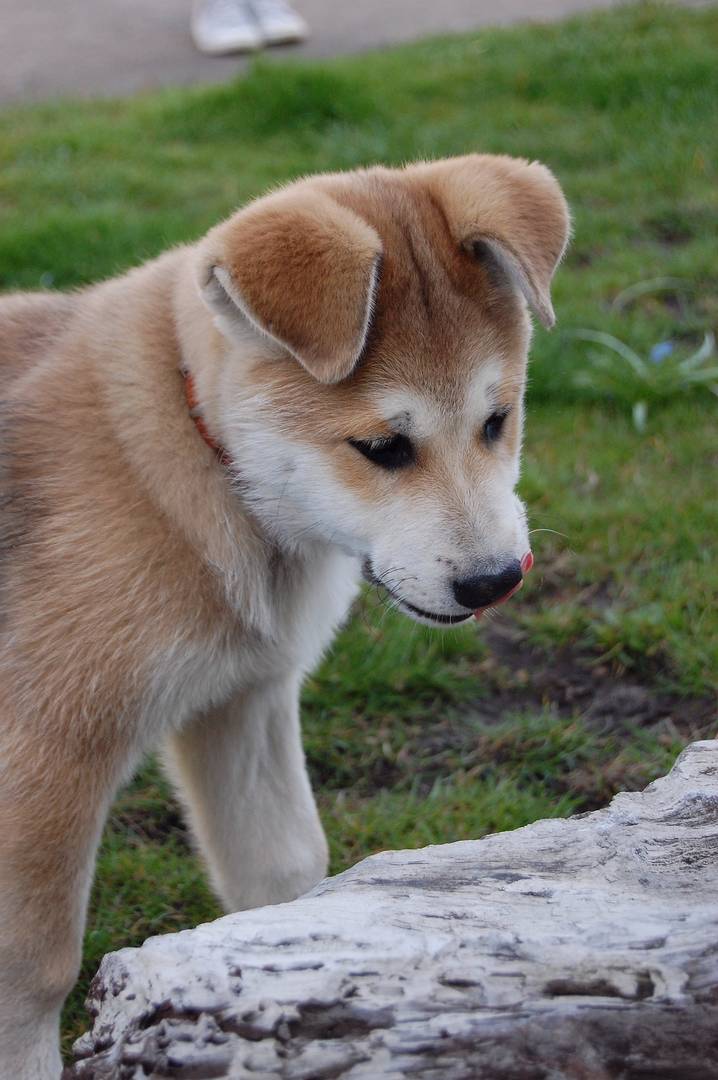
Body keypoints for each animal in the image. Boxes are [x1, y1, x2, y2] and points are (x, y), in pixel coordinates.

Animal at [0, 154, 570, 1080]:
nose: (493, 582)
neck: (196, 456)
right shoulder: (46, 748)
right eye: (381, 448)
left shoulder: (244, 701)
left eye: (499, 419)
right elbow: (32, 973)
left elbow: (283, 878)